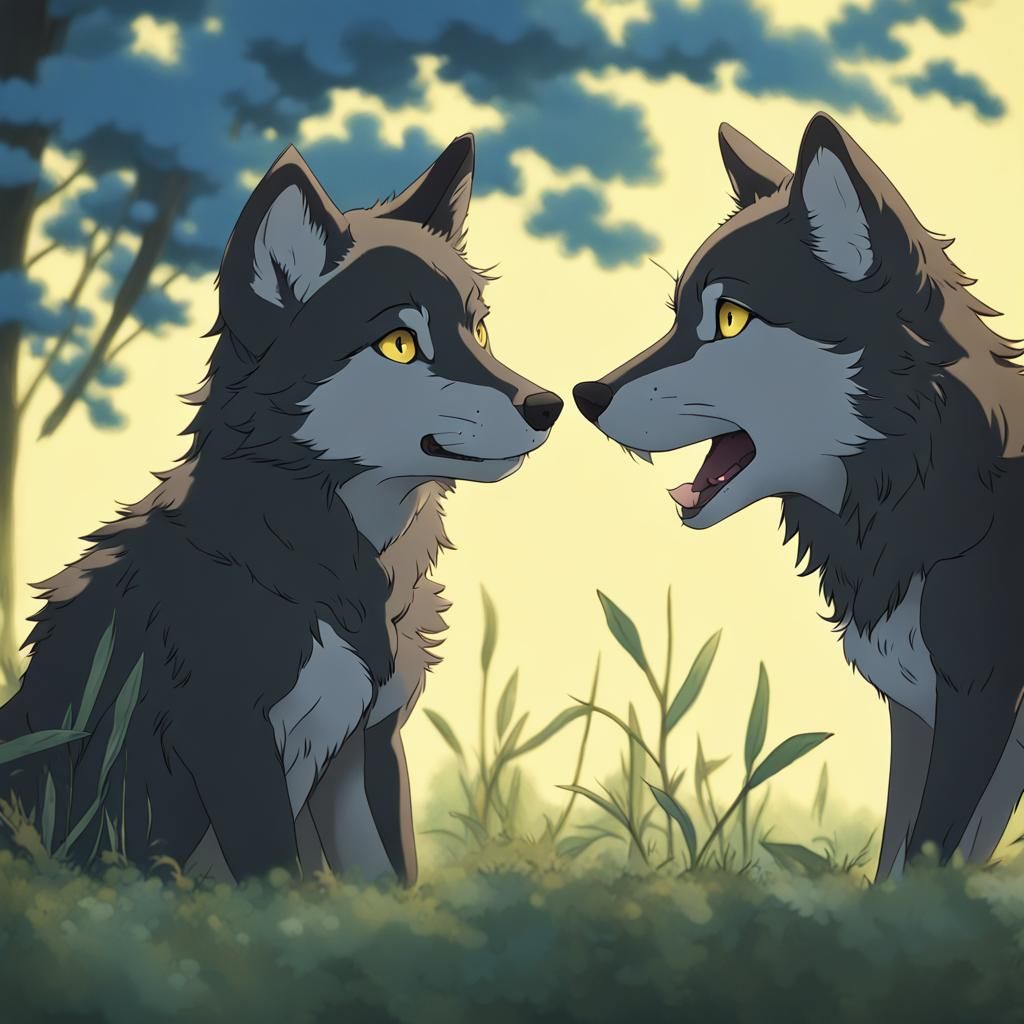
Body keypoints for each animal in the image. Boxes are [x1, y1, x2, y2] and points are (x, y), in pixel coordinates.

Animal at [0, 133, 562, 885]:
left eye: (479, 330)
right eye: (399, 344)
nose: (548, 406)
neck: (314, 559)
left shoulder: (368, 746)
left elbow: (388, 875)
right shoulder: (230, 739)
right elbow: (275, 873)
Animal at [573, 111, 1024, 880]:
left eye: (729, 319)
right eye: (675, 315)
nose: (585, 396)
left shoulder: (976, 708)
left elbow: (927, 859)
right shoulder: (921, 720)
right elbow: (901, 863)